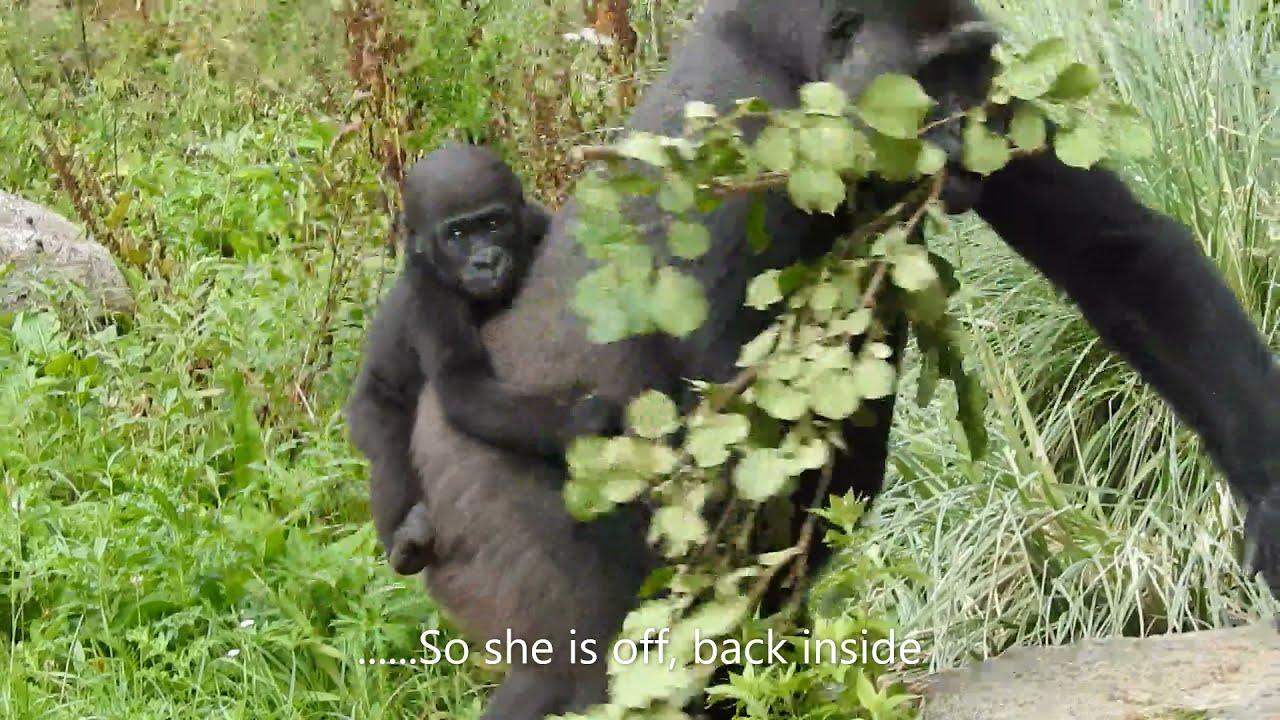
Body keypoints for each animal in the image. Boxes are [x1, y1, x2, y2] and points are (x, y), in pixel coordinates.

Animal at [345, 142, 624, 577]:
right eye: (457, 234)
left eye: (493, 223)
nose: (486, 261)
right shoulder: (431, 291)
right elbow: (464, 387)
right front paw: (582, 418)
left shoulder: (535, 224)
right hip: (368, 406)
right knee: (388, 454)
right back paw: (405, 546)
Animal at [399, 2, 1280, 718]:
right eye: (932, 75)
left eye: (972, 67)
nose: (967, 123)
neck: (801, 58)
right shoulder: (750, 134)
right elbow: (718, 394)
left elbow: (1118, 255)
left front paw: (1274, 503)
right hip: (479, 483)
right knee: (586, 661)